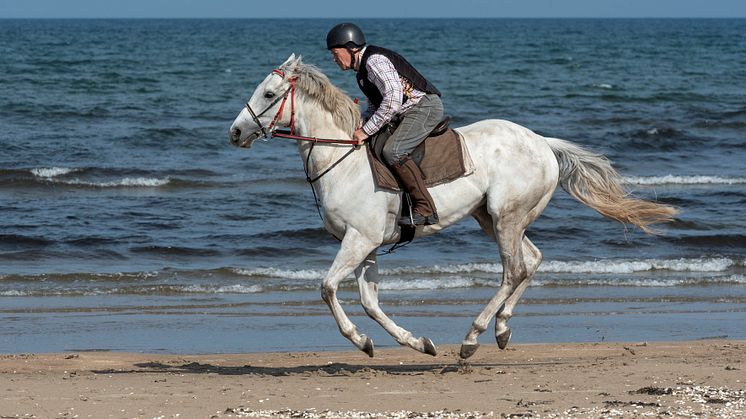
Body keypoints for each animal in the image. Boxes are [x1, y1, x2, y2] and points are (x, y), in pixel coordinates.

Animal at [228, 54, 676, 360]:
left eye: (269, 94)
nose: (235, 132)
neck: (343, 159)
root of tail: (543, 143)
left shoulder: (358, 240)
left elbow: (327, 288)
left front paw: (360, 341)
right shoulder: (367, 245)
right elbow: (371, 303)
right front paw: (415, 343)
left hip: (506, 217)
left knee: (513, 270)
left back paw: (472, 337)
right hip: (493, 218)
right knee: (531, 261)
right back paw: (501, 330)